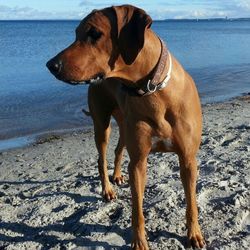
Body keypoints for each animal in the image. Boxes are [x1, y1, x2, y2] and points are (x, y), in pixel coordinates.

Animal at [47, 4, 205, 249]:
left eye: (94, 33)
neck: (152, 91)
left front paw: (194, 234)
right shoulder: (138, 163)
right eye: (76, 33)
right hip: (102, 124)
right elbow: (137, 210)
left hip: (123, 123)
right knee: (101, 158)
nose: (51, 65)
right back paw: (107, 189)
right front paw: (139, 242)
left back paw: (118, 175)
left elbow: (191, 203)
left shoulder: (188, 159)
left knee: (118, 149)